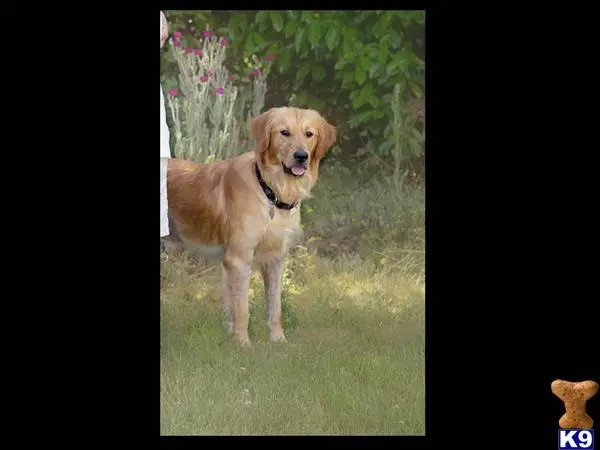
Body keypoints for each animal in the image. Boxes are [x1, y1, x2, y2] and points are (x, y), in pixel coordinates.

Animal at [169, 107, 336, 346]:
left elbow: (275, 307)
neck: (272, 191)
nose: (301, 156)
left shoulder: (276, 259)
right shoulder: (238, 259)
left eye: (309, 134)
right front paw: (242, 342)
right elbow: (242, 308)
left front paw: (278, 340)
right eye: (284, 132)